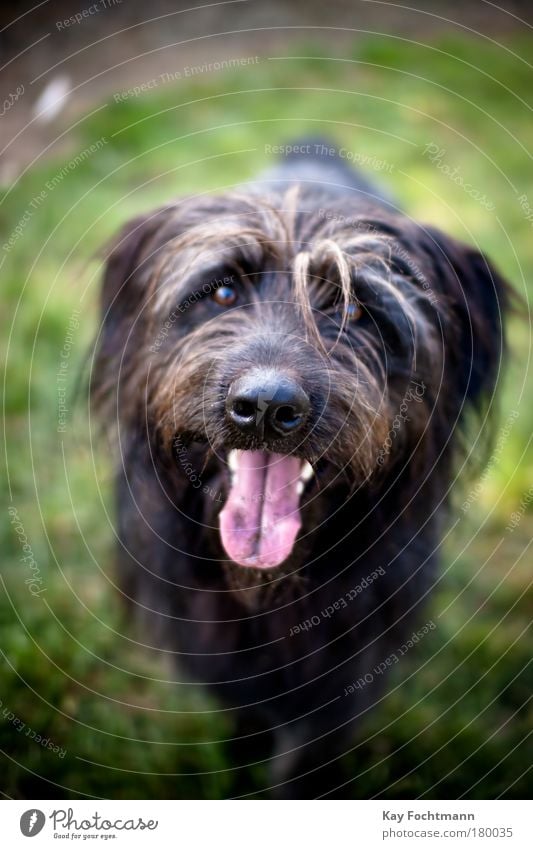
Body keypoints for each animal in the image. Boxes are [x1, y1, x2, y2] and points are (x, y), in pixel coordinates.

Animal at [91, 139, 508, 796]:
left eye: (358, 309)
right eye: (222, 294)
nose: (266, 406)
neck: (273, 582)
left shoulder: (350, 662)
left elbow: (310, 750)